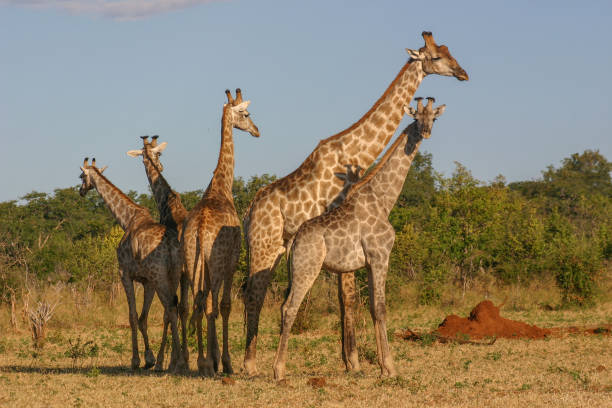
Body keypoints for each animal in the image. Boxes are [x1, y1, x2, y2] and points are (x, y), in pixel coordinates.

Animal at [76, 158, 183, 372]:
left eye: (81, 176)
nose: (81, 191)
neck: (127, 219)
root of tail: (170, 244)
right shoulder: (147, 281)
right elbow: (143, 319)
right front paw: (149, 359)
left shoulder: (124, 274)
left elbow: (133, 317)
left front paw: (136, 360)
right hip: (172, 275)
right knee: (172, 310)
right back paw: (173, 359)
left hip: (160, 277)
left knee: (171, 309)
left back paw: (177, 361)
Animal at [179, 88, 260, 376]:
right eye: (246, 114)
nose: (257, 130)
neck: (221, 186)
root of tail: (201, 229)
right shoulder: (231, 263)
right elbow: (225, 307)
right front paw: (224, 361)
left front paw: (213, 358)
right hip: (213, 266)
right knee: (210, 306)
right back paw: (210, 363)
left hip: (192, 261)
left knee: (198, 304)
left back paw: (202, 362)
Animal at [272, 95, 444, 380]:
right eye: (416, 117)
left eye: (434, 118)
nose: (426, 132)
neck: (383, 200)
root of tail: (293, 241)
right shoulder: (380, 255)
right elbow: (382, 308)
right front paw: (391, 368)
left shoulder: (370, 262)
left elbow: (374, 308)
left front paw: (384, 366)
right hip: (307, 267)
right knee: (289, 307)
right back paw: (279, 370)